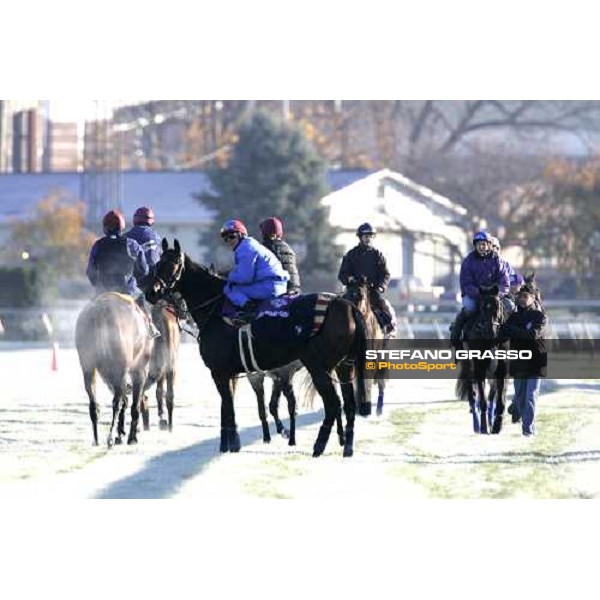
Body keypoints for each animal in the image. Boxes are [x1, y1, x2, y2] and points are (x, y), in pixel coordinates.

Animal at [75, 290, 154, 446]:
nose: (156, 332)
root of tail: (99, 314)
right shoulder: (139, 370)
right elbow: (134, 406)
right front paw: (131, 437)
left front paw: (122, 433)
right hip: (120, 368)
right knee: (117, 402)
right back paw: (111, 437)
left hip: (89, 365)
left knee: (94, 404)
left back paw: (97, 439)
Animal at [458, 284, 508, 434]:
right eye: (481, 307)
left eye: (497, 306)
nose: (491, 331)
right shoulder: (479, 367)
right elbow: (482, 399)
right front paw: (484, 426)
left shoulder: (502, 368)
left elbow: (500, 399)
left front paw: (497, 425)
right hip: (468, 367)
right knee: (473, 395)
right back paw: (476, 425)